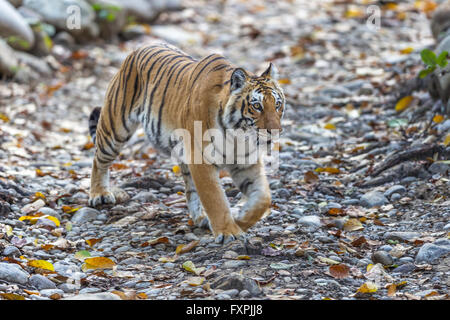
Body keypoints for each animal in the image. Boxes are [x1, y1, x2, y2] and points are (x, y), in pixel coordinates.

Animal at [88, 41, 284, 244]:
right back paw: (99, 194)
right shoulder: (200, 159)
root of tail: (142, 46)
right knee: (98, 159)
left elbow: (263, 198)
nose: (276, 130)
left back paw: (201, 218)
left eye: (277, 104)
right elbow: (215, 198)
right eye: (257, 106)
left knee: (190, 190)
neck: (237, 136)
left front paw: (240, 218)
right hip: (115, 128)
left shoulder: (246, 162)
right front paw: (229, 232)